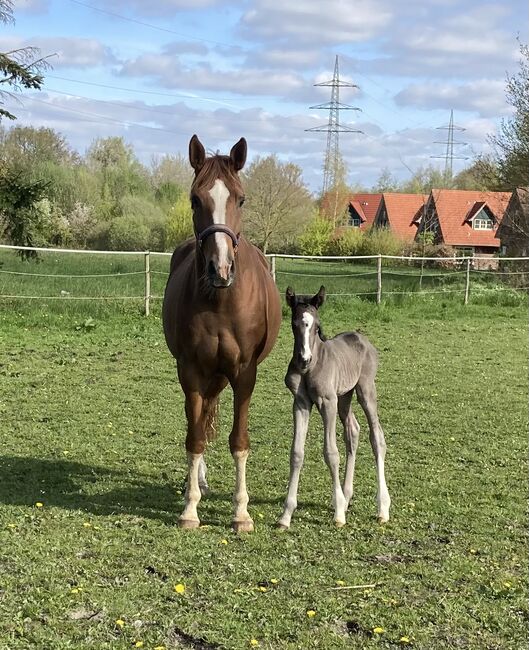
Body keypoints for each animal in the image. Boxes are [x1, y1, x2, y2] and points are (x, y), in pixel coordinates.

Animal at [163, 134, 282, 528]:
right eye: (194, 199)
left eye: (240, 198)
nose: (221, 268)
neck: (220, 302)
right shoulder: (190, 371)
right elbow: (195, 436)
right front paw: (190, 508)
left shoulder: (244, 374)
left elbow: (239, 440)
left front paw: (241, 512)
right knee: (199, 420)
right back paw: (196, 482)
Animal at [278, 284, 390, 528]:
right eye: (293, 324)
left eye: (317, 326)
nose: (304, 359)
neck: (312, 367)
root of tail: (363, 339)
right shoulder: (300, 403)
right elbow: (296, 453)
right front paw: (286, 515)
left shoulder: (327, 402)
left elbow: (331, 452)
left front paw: (338, 513)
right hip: (345, 397)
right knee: (353, 430)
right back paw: (347, 497)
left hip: (365, 390)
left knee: (376, 437)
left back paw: (382, 508)